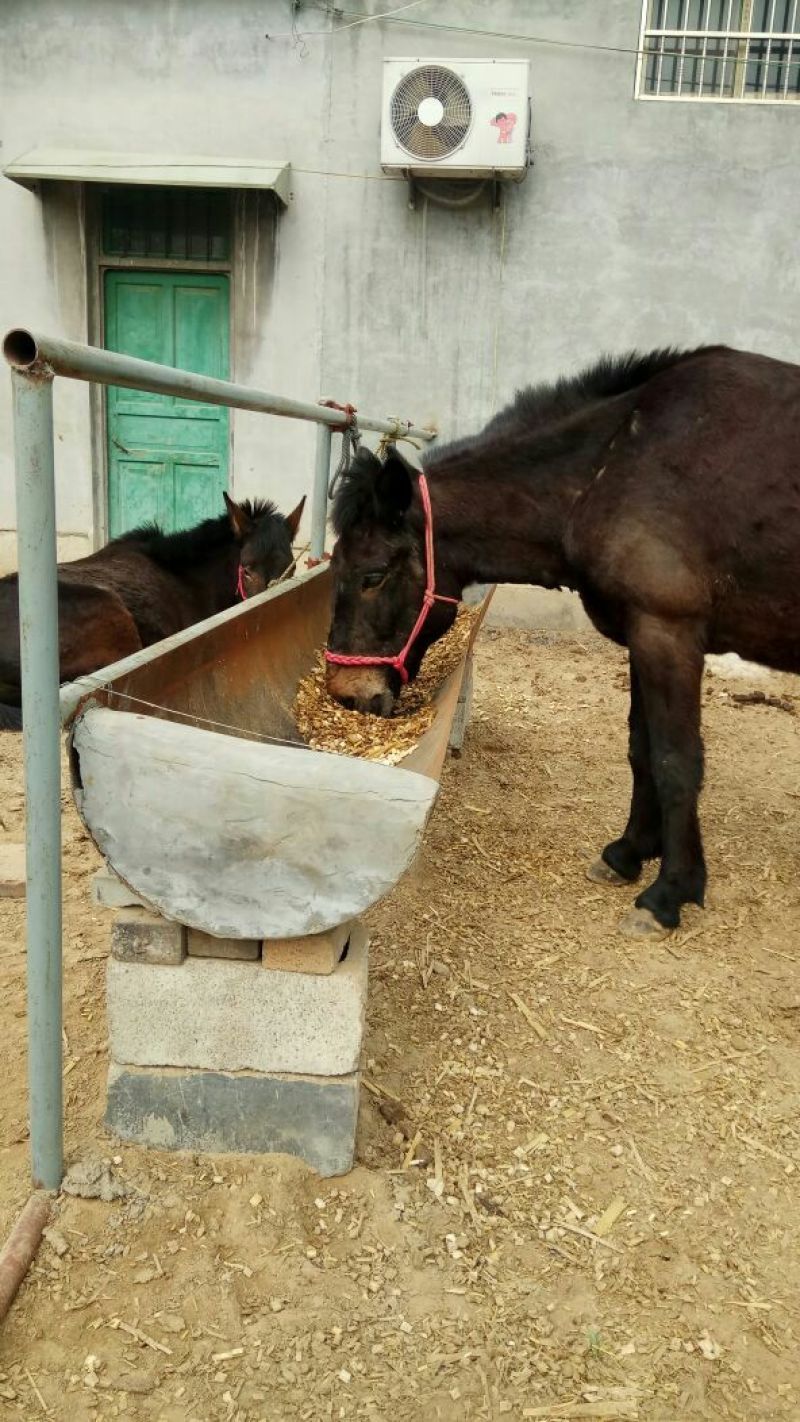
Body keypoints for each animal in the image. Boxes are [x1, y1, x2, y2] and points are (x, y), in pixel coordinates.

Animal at [324, 345, 800, 938]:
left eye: (372, 575)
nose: (346, 693)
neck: (615, 463)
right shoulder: (641, 636)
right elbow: (641, 748)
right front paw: (628, 854)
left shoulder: (668, 633)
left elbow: (676, 761)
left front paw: (670, 892)